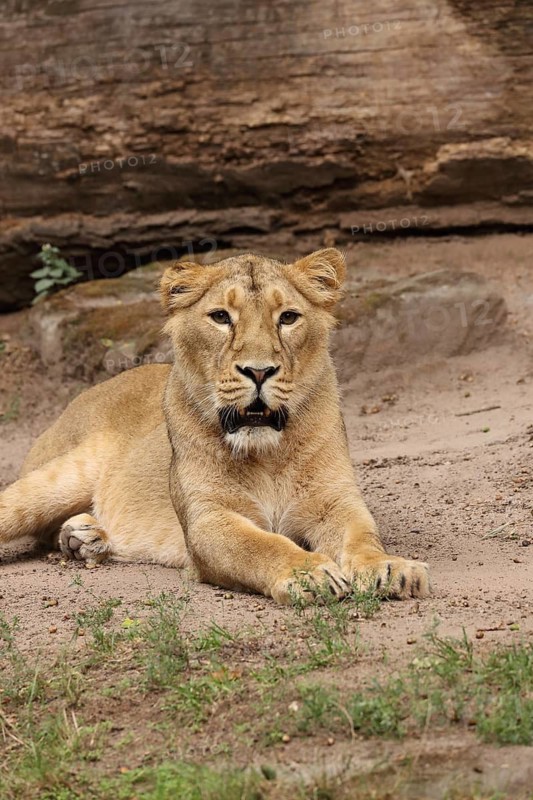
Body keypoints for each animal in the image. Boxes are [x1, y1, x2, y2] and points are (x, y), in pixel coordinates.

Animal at [0, 249, 429, 603]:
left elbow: (362, 536)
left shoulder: (336, 501)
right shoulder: (207, 519)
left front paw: (388, 568)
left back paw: (84, 538)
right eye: (221, 317)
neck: (268, 454)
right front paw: (308, 574)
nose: (259, 371)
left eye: (288, 317)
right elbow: (261, 545)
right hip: (59, 479)